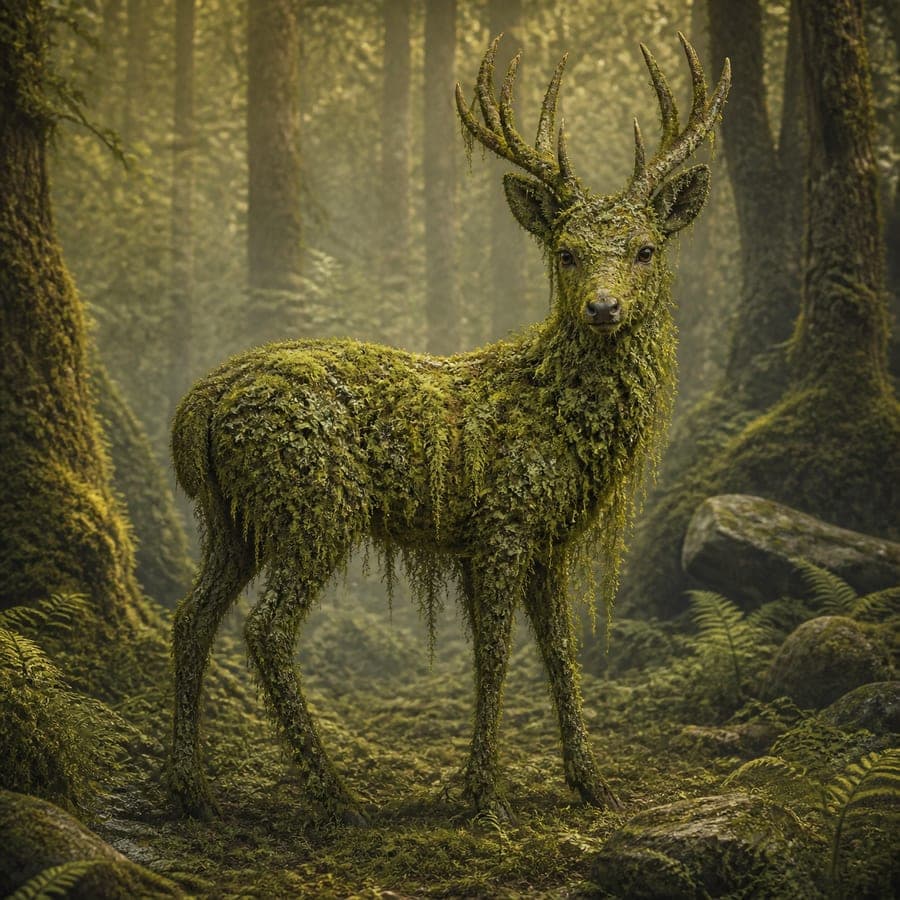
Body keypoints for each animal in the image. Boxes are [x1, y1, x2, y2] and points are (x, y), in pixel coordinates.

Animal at [169, 34, 729, 825]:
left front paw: (591, 783)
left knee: (192, 616)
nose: (603, 308)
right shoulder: (499, 520)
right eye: (565, 251)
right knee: (265, 628)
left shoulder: (550, 538)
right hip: (313, 500)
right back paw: (336, 794)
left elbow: (561, 652)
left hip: (233, 517)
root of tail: (200, 404)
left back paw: (191, 787)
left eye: (646, 249)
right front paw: (483, 794)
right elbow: (493, 654)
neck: (562, 421)